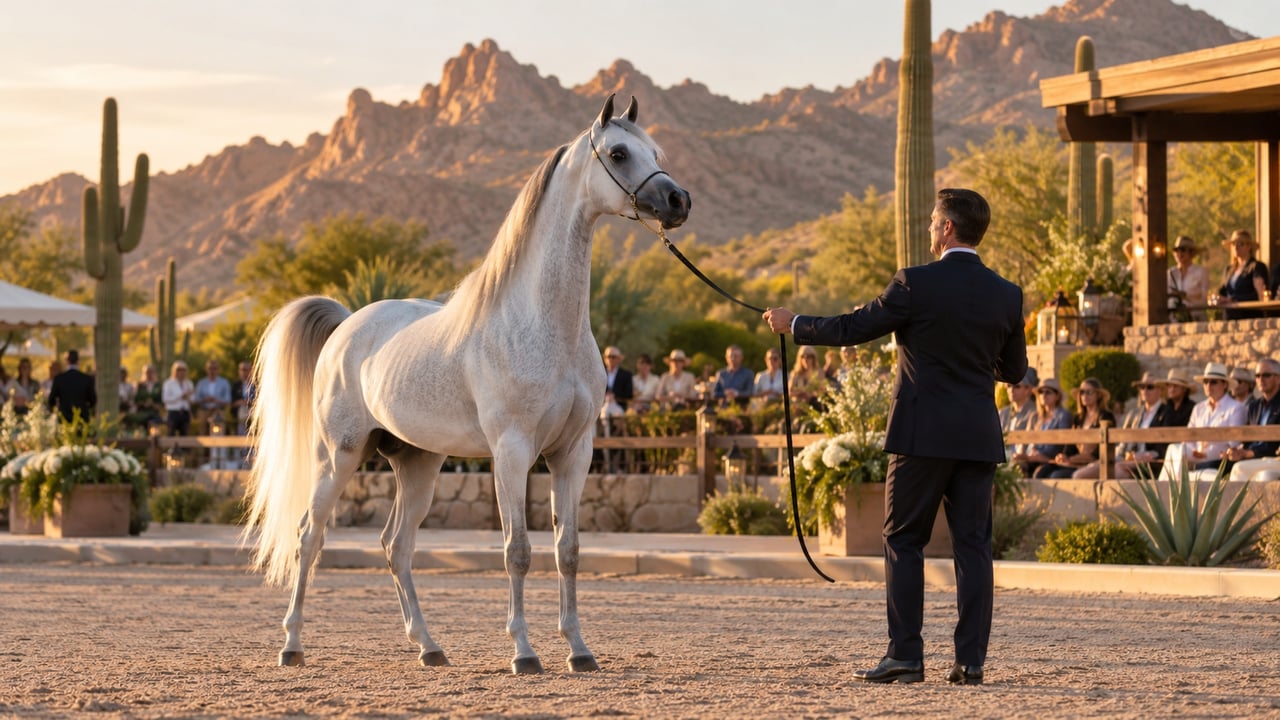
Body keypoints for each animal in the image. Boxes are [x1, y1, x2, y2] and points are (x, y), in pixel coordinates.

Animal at [243, 94, 691, 675]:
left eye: (655, 152)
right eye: (618, 152)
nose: (678, 200)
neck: (544, 324)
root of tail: (345, 325)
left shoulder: (574, 453)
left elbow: (567, 550)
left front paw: (578, 650)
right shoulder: (512, 453)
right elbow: (517, 552)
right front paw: (524, 653)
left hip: (418, 463)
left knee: (396, 546)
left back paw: (428, 647)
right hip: (337, 456)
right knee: (308, 536)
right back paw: (292, 645)